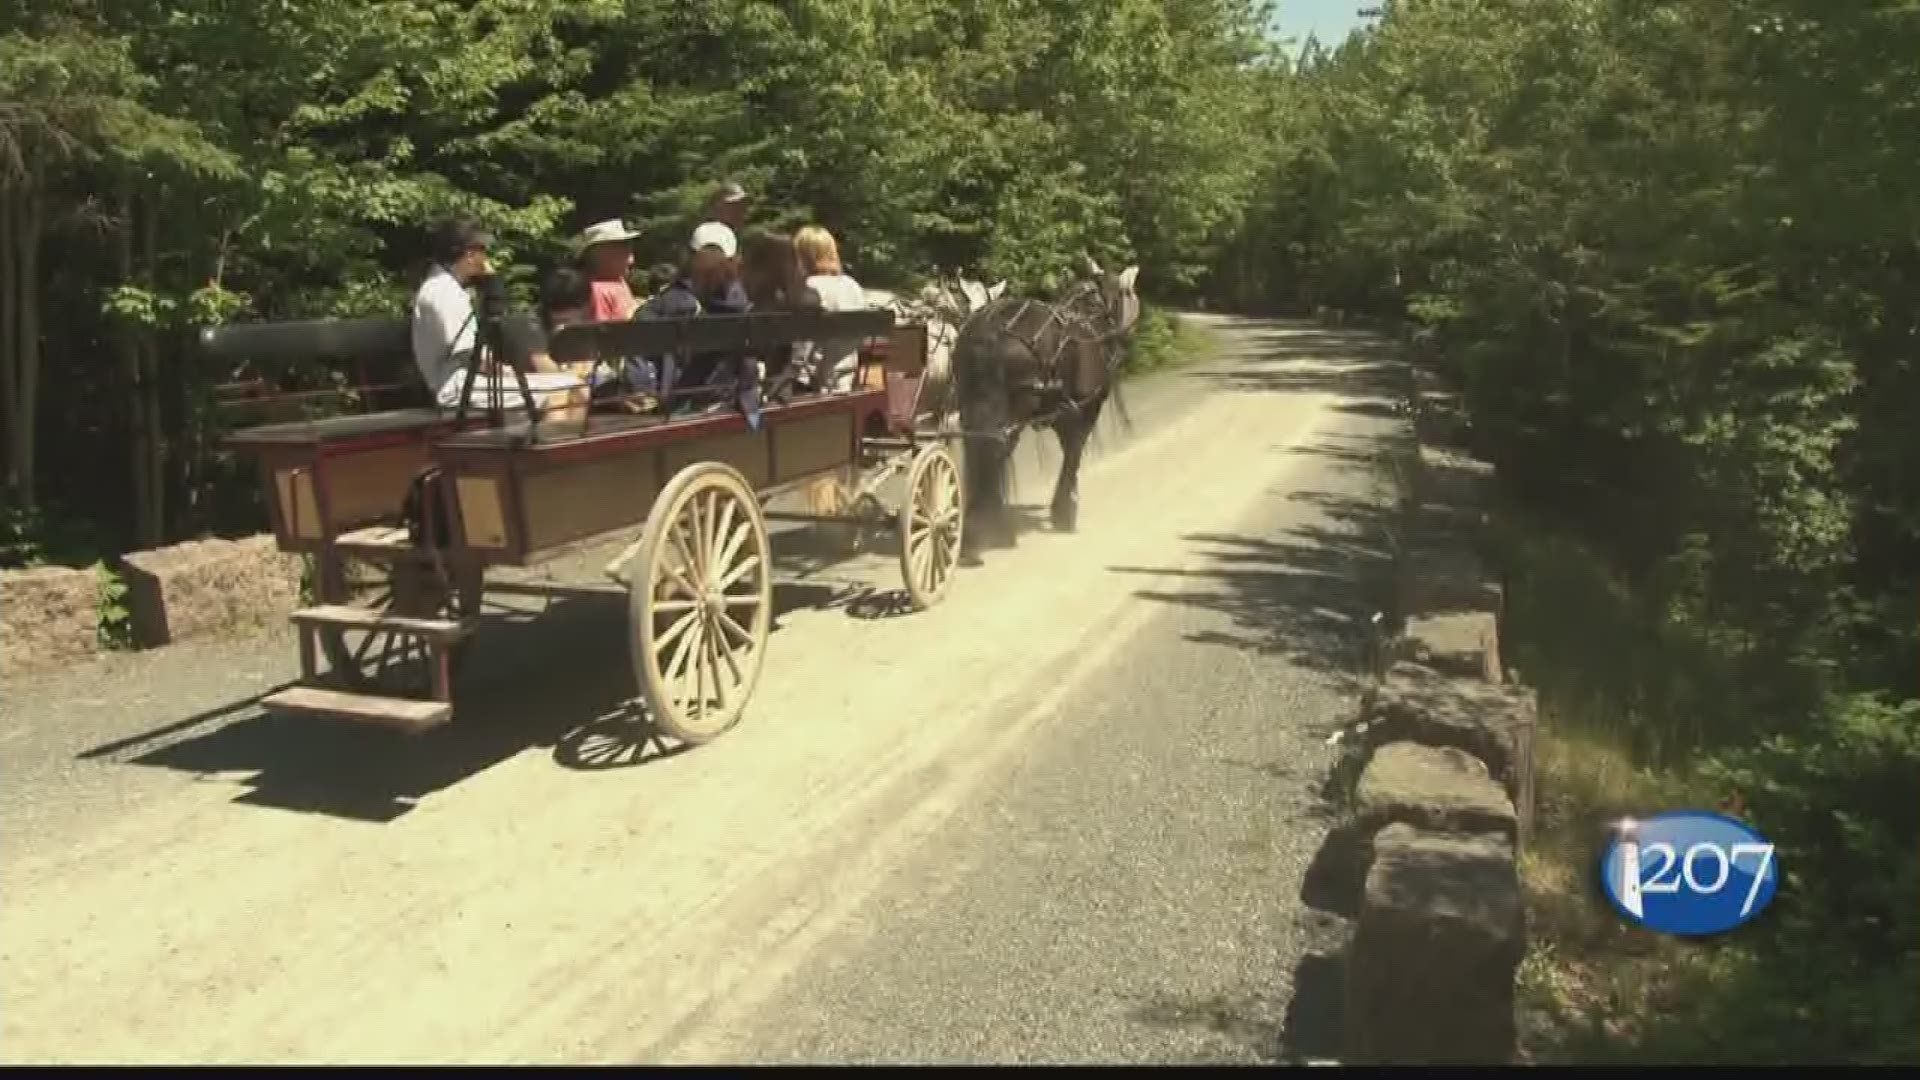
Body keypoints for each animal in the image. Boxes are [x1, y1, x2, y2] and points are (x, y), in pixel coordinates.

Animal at [948, 253, 1136, 553]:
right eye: (1124, 293)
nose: (1127, 333)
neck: (1090, 316)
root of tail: (991, 328)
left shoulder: (1061, 411)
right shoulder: (1083, 408)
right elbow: (1073, 454)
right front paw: (1065, 511)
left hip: (973, 402)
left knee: (981, 449)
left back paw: (974, 532)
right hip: (1016, 410)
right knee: (997, 451)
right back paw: (996, 532)